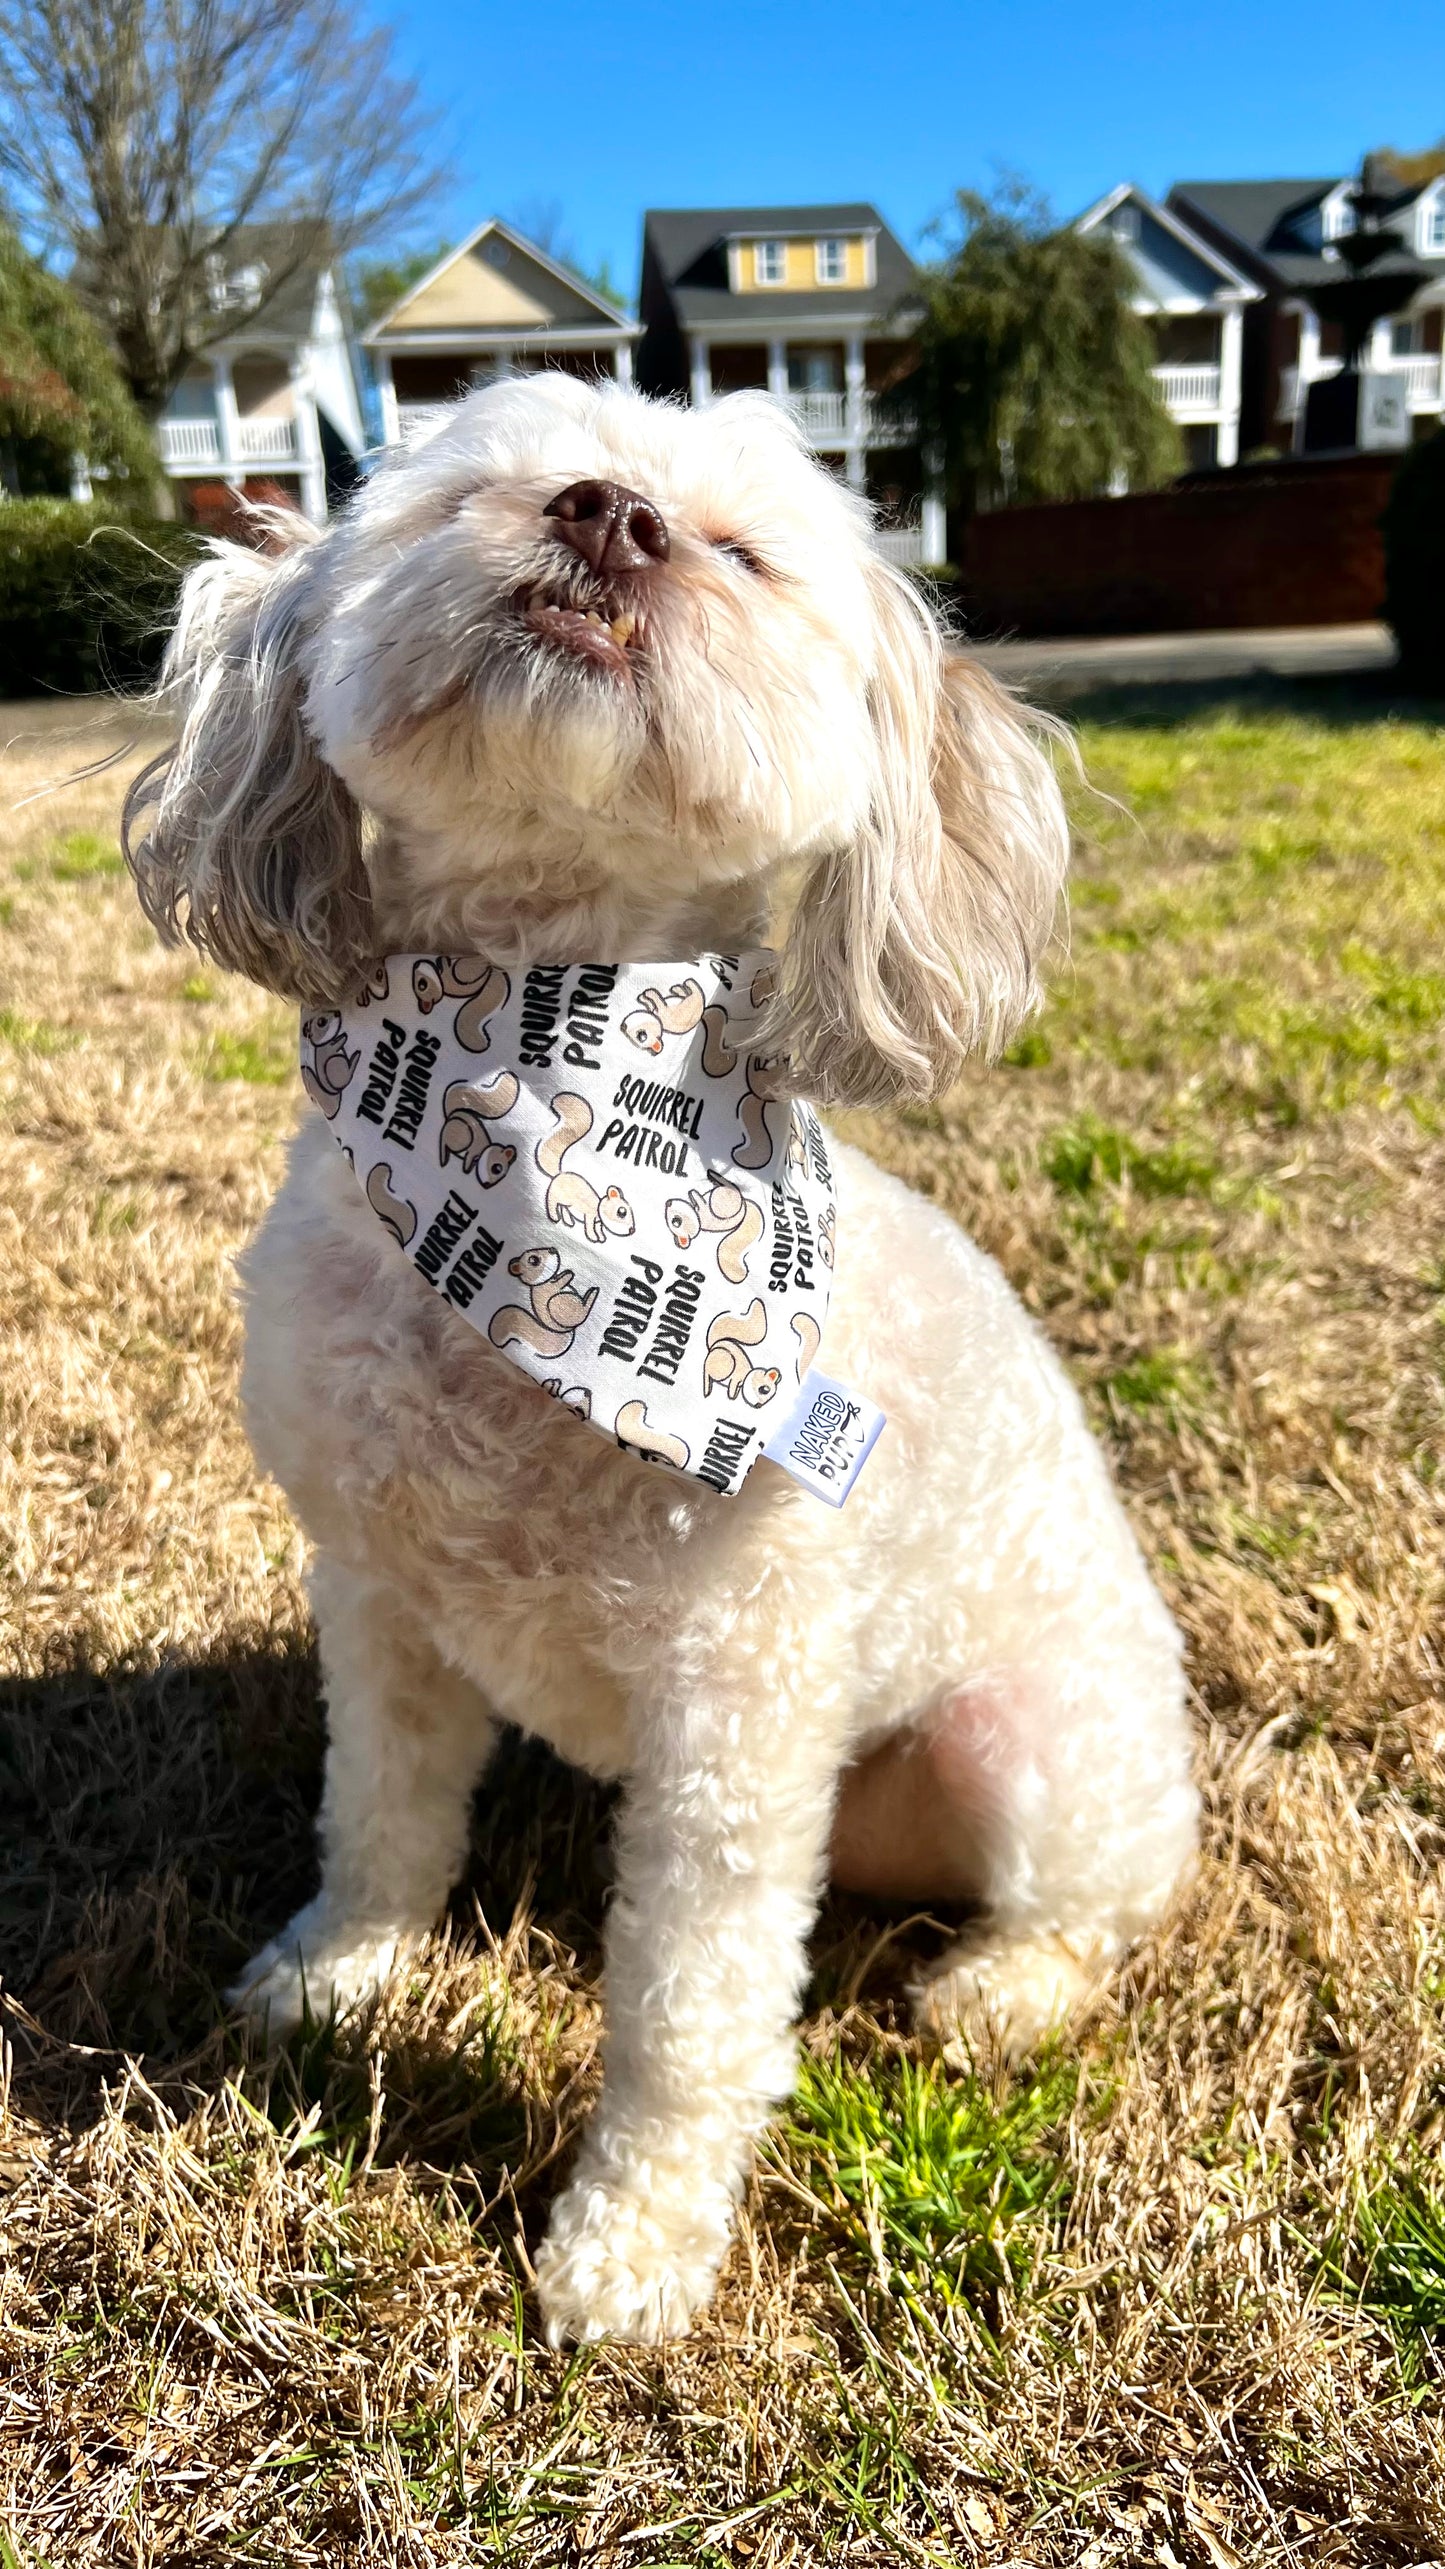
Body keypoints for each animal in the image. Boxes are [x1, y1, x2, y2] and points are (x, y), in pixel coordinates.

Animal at [536, 1092, 635, 1244]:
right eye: (621, 1212)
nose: (631, 1230)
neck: (598, 1208)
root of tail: (560, 1173)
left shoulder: (599, 1223)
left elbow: (599, 1229)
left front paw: (601, 1238)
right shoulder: (589, 1216)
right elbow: (589, 1227)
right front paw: (593, 1237)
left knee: (564, 1208)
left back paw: (568, 1221)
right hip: (558, 1195)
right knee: (552, 1202)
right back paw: (554, 1216)